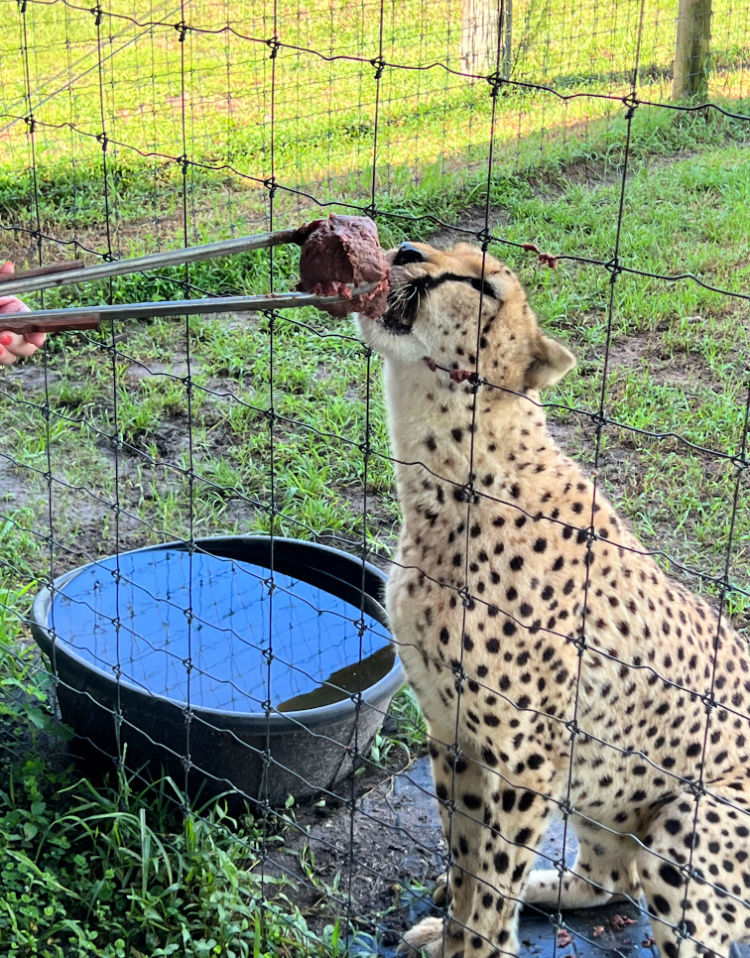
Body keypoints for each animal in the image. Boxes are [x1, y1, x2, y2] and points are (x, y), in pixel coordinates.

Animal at [356, 242, 750, 958]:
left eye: (482, 286)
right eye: (423, 248)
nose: (403, 251)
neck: (457, 477)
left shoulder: (528, 760)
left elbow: (492, 883)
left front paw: (476, 949)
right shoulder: (452, 732)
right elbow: (465, 859)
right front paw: (448, 931)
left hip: (689, 829)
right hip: (607, 799)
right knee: (611, 880)